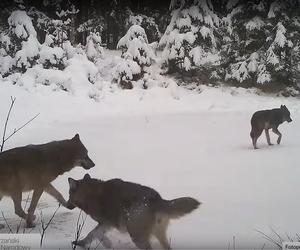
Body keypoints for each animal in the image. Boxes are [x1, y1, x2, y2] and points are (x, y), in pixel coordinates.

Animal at [67, 174, 199, 250]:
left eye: (68, 194)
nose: (66, 205)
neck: (89, 193)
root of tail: (157, 198)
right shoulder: (105, 224)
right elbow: (93, 234)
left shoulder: (106, 222)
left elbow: (95, 233)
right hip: (157, 235)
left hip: (137, 236)